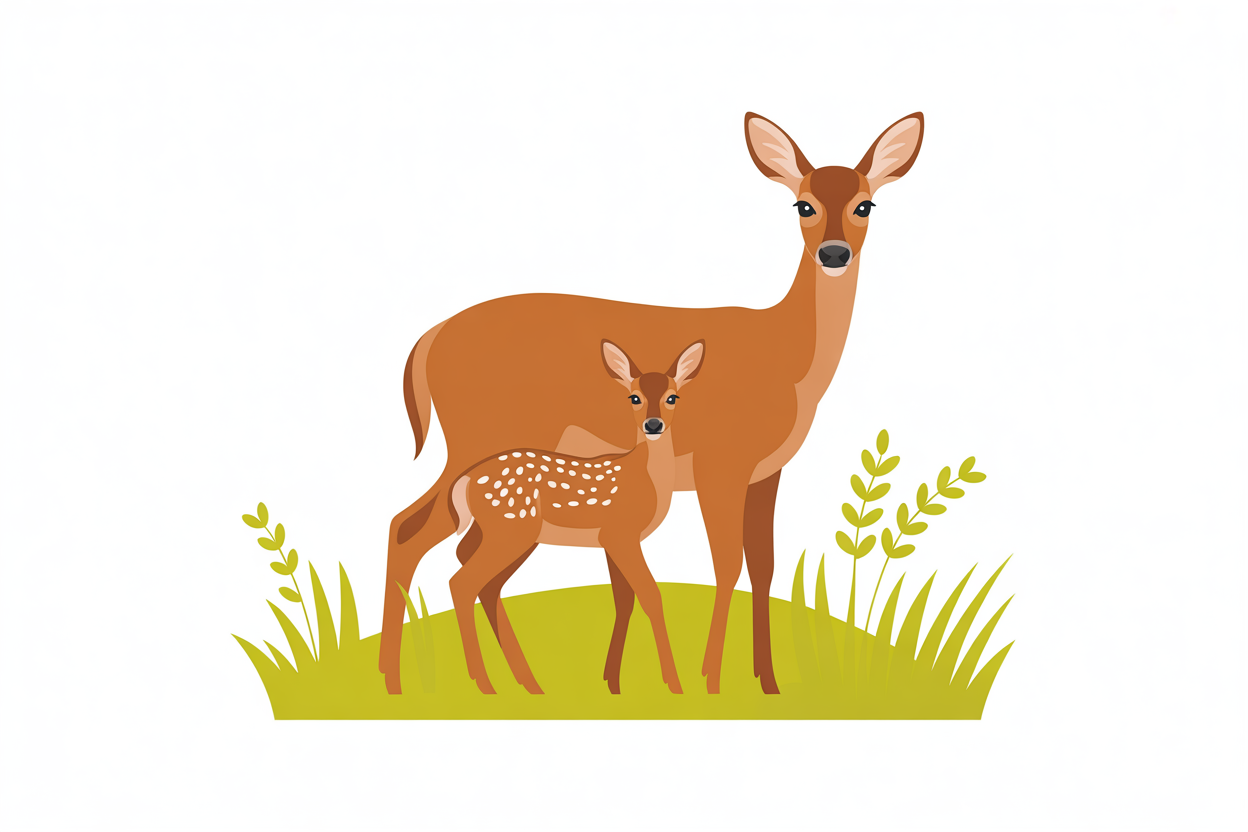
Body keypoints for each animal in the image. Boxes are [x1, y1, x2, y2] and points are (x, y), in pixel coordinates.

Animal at [446, 340, 704, 695]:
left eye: (672, 397)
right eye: (634, 397)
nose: (653, 425)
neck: (646, 477)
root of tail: (467, 479)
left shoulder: (610, 540)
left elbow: (624, 600)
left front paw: (613, 683)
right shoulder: (621, 533)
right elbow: (651, 595)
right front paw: (675, 685)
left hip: (506, 532)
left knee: (476, 571)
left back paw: (529, 683)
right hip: (511, 528)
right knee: (463, 582)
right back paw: (485, 684)